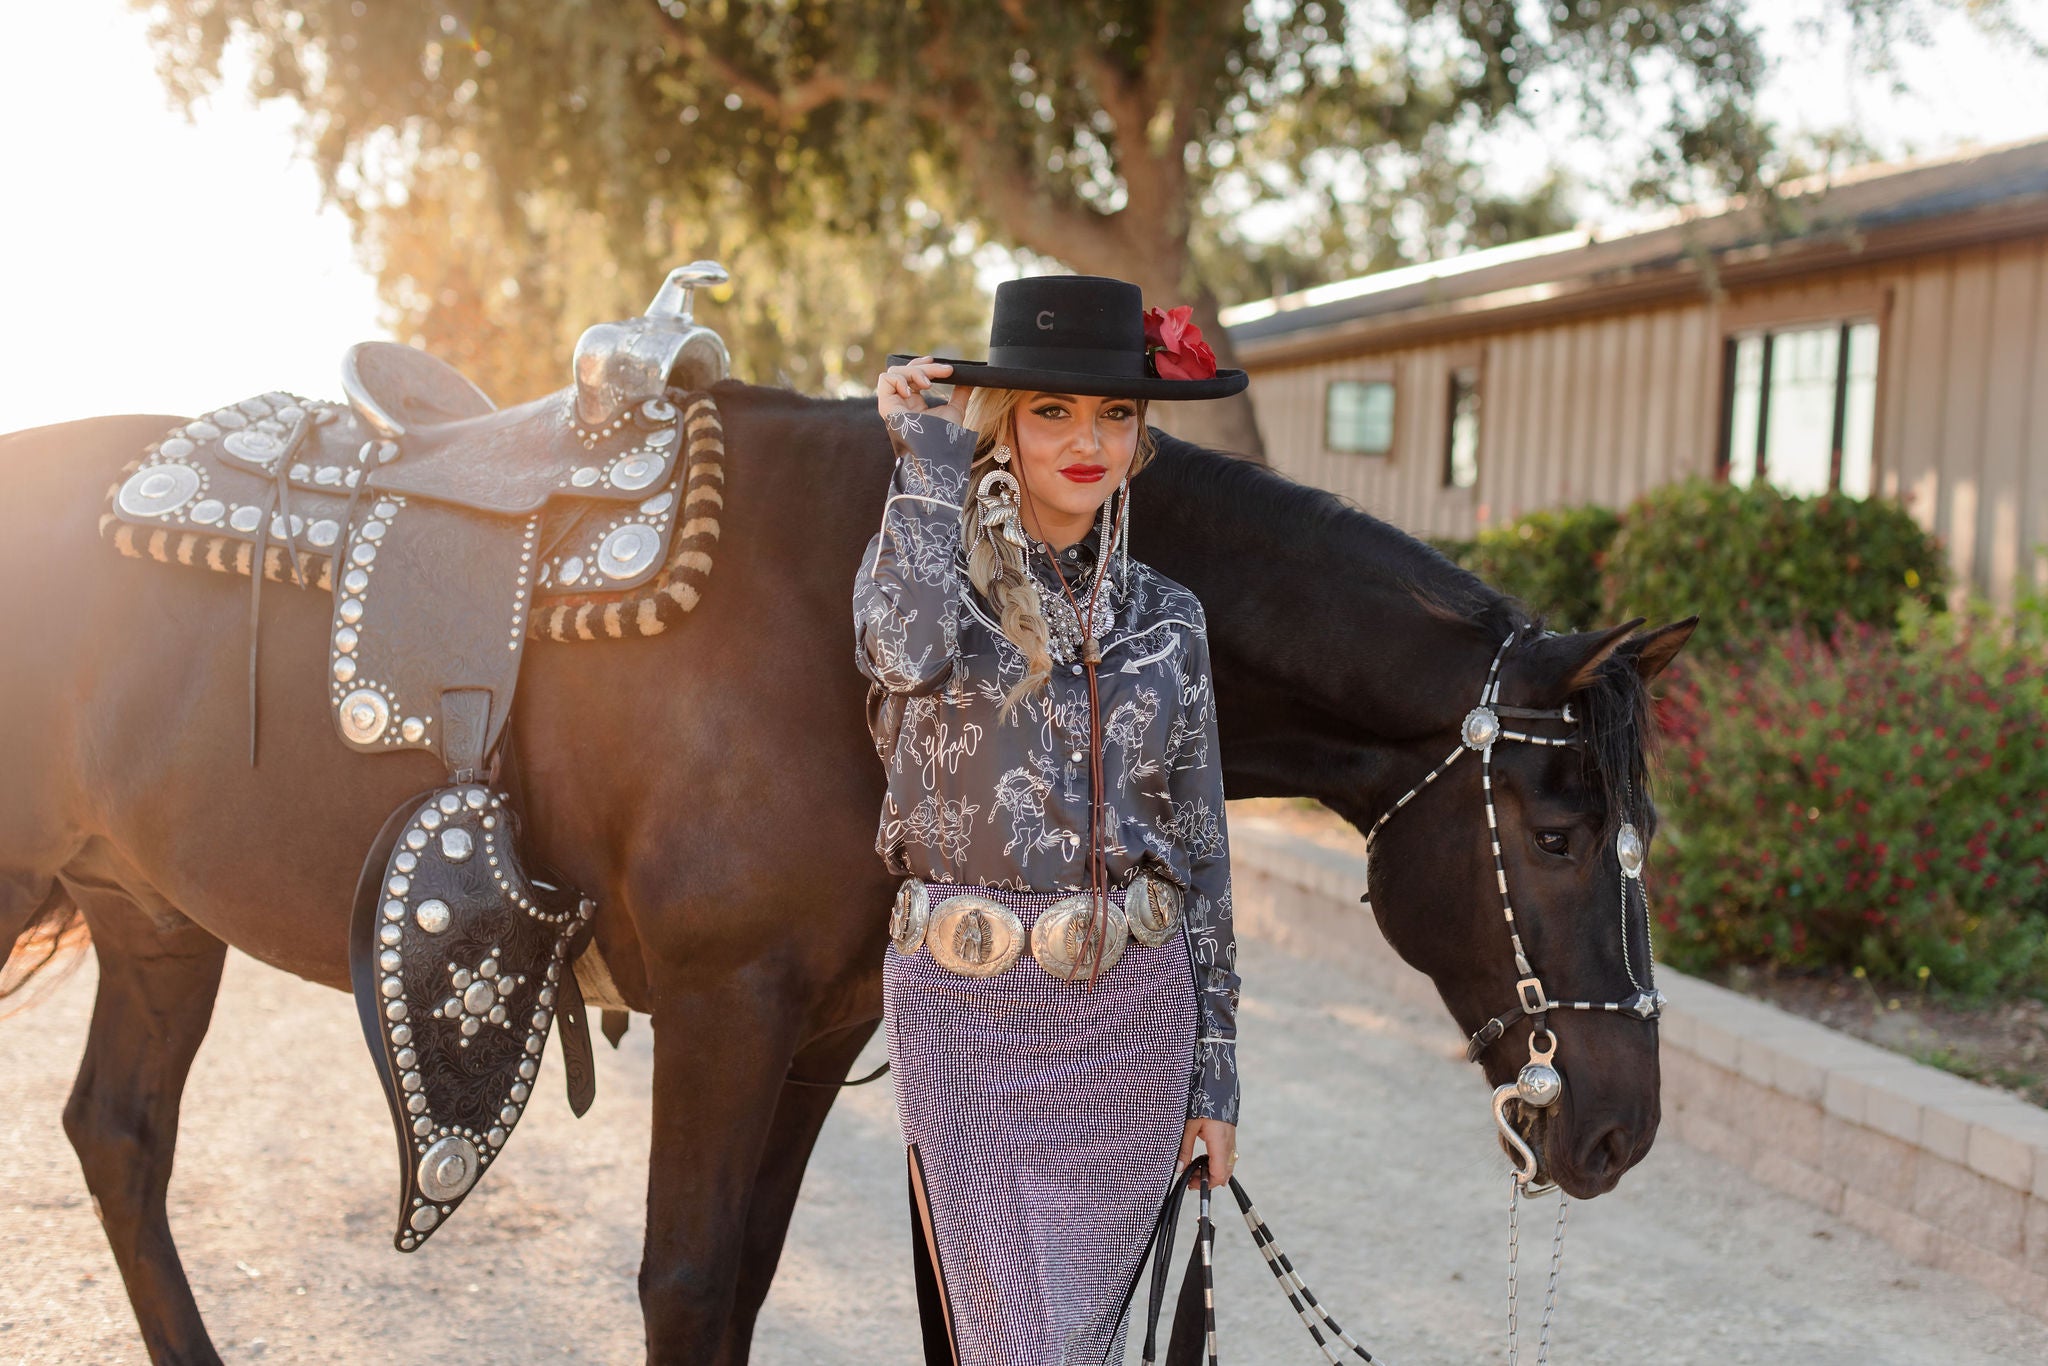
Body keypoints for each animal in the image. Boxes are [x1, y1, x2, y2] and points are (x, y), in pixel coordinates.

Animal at [0, 376, 1695, 1366]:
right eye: (1553, 835)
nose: (1619, 1127)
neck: (852, 595)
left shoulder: (814, 1027)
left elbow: (744, 1277)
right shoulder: (725, 1007)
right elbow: (685, 1281)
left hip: (154, 916)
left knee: (118, 1137)